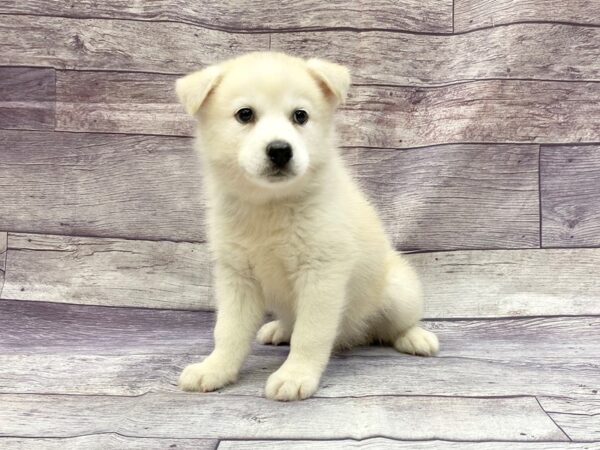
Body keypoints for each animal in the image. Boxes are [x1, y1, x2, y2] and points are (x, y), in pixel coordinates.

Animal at [176, 51, 438, 400]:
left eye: (300, 116)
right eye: (245, 114)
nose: (279, 150)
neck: (270, 206)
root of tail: (357, 334)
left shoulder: (321, 273)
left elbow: (310, 334)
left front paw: (295, 375)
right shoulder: (237, 277)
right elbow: (228, 331)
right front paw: (215, 368)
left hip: (398, 292)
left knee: (395, 326)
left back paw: (415, 337)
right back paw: (278, 329)